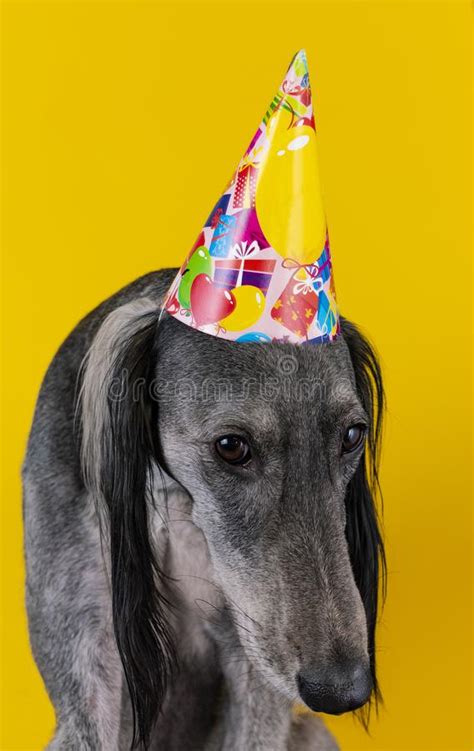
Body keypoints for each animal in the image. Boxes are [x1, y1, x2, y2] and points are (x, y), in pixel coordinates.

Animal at [22, 268, 386, 748]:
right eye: (231, 446)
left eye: (351, 435)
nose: (343, 689)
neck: (173, 498)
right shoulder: (87, 664)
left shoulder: (251, 654)